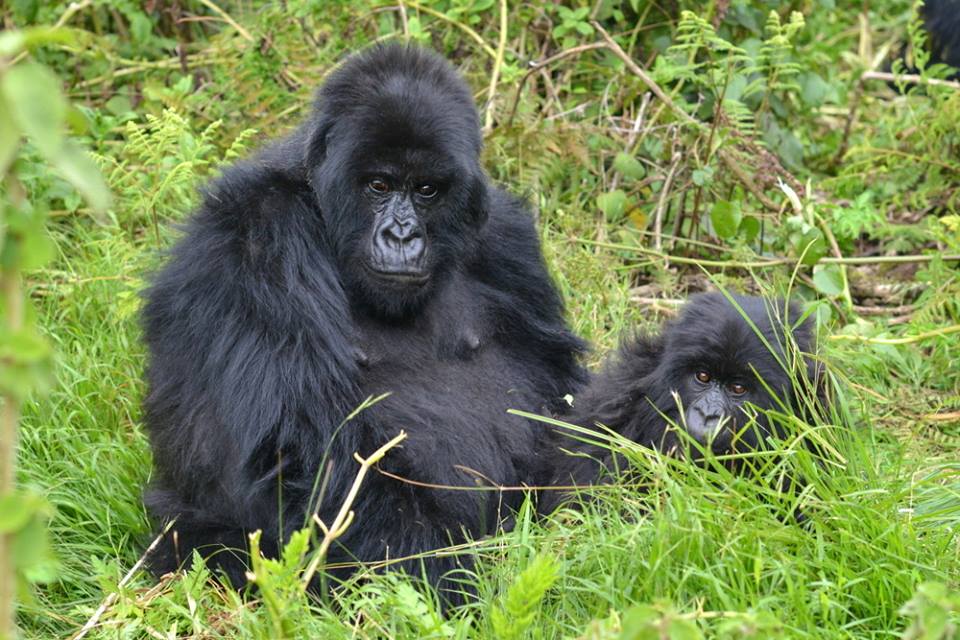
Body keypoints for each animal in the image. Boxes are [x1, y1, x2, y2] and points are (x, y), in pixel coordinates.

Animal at [142, 46, 584, 600]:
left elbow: (561, 391)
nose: (402, 236)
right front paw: (443, 578)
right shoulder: (258, 236)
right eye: (378, 185)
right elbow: (309, 448)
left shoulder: (508, 236)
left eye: (426, 190)